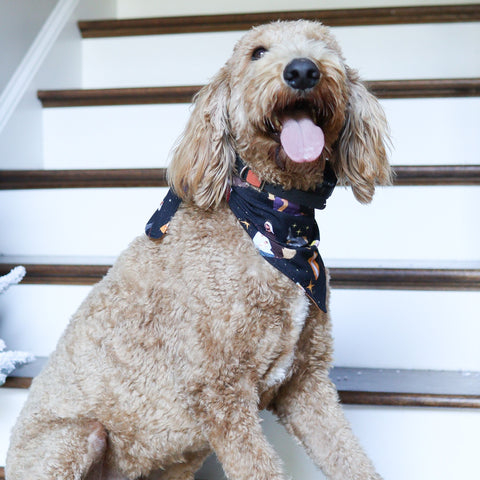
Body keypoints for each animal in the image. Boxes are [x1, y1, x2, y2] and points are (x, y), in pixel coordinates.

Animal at [6, 19, 390, 480]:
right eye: (257, 53)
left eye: (323, 47)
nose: (303, 70)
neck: (275, 223)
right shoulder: (220, 391)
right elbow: (258, 466)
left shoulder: (306, 384)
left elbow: (348, 456)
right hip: (75, 437)